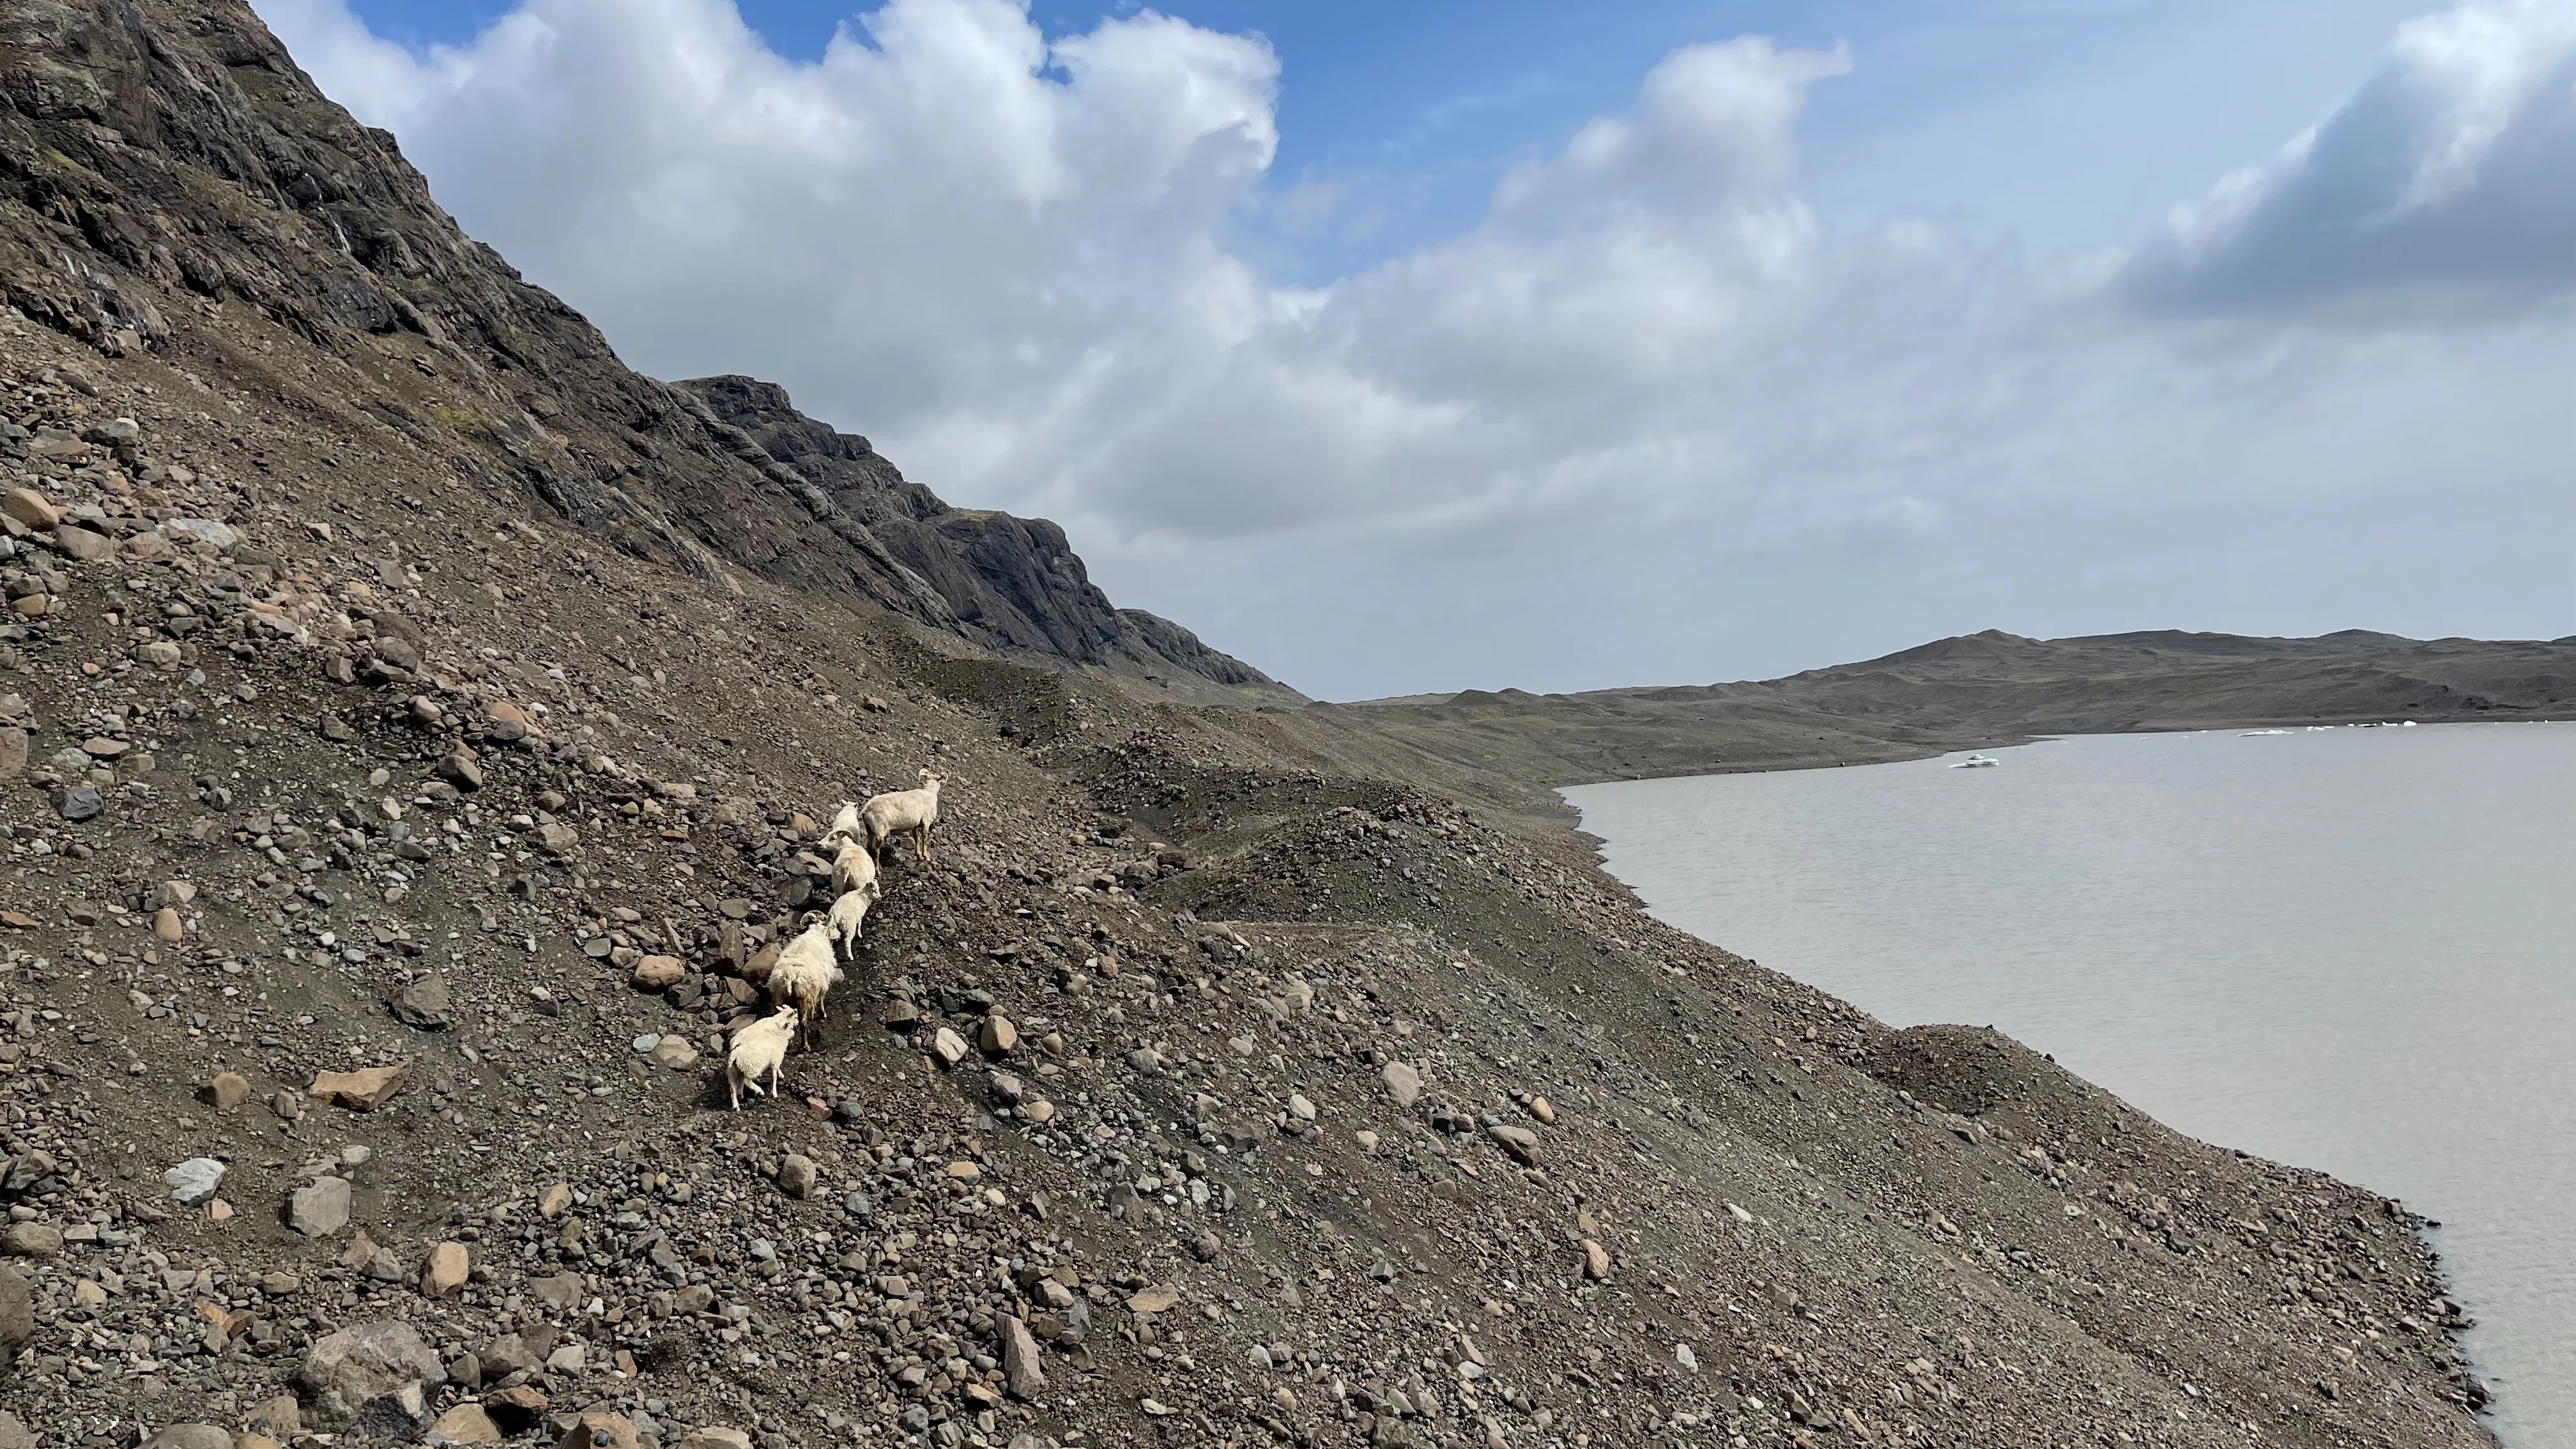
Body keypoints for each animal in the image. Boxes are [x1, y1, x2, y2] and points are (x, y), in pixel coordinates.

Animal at [726, 1005, 800, 1110]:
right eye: (796, 1017)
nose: (798, 1024)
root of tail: (735, 1054)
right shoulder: (776, 1059)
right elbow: (774, 1077)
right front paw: (775, 1093)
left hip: (733, 1071)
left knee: (733, 1087)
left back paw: (737, 1104)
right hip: (751, 1069)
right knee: (746, 1081)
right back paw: (759, 1091)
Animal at [767, 915, 847, 1049]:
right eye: (833, 926)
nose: (839, 936)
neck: (817, 933)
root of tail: (788, 976)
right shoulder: (822, 984)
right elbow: (821, 998)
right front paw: (823, 1014)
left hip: (779, 996)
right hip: (804, 998)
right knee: (803, 1022)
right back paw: (806, 1046)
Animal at [860, 768, 946, 865]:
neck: (930, 793)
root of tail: (866, 810)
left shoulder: (915, 825)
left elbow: (917, 838)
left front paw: (919, 855)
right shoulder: (926, 821)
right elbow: (924, 837)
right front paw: (926, 857)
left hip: (870, 829)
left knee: (869, 846)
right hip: (880, 831)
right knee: (875, 849)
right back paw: (878, 869)